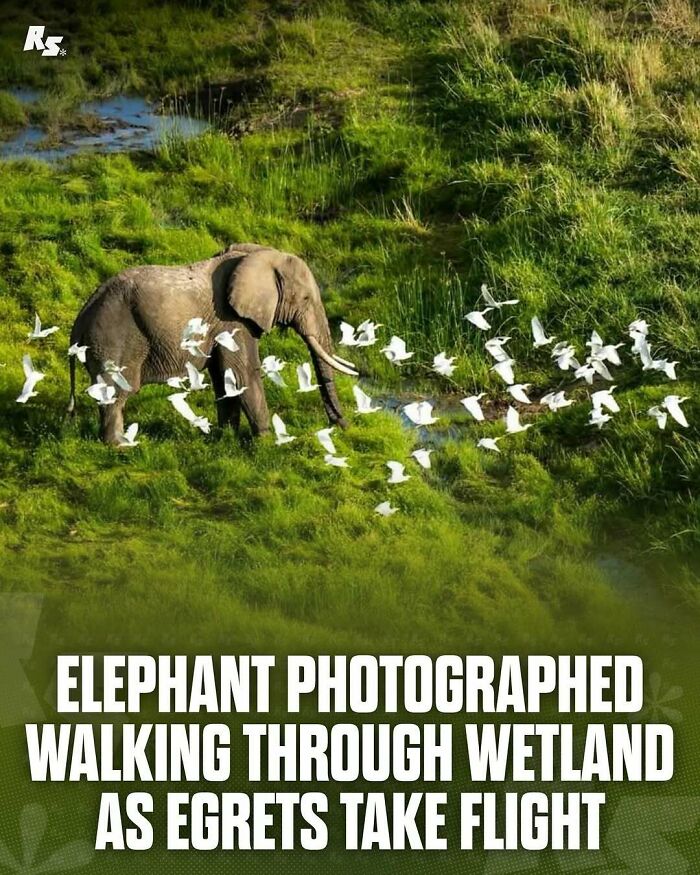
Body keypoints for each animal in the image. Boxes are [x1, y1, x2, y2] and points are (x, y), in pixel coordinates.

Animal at [67, 243, 358, 444]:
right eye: (306, 299)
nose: (343, 425)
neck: (257, 255)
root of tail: (82, 315)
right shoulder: (232, 321)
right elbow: (243, 374)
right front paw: (268, 442)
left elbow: (224, 377)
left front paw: (226, 437)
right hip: (113, 339)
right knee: (116, 392)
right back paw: (119, 445)